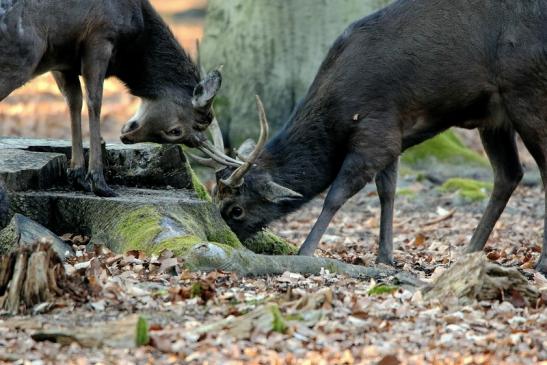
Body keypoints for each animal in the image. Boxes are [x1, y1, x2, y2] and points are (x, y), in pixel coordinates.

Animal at [0, 0, 225, 196]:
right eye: (175, 131)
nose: (126, 137)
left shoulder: (63, 62)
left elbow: (74, 100)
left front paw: (77, 175)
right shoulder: (100, 36)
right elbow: (94, 101)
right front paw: (98, 182)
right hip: (21, 59)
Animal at [199, 0, 547, 272]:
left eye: (237, 209)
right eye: (214, 197)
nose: (226, 238)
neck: (337, 114)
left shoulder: (376, 129)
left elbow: (336, 194)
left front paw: (305, 251)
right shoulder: (394, 135)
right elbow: (387, 192)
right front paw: (385, 257)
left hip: (527, 92)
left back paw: (539, 263)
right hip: (494, 116)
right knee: (509, 174)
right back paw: (469, 252)